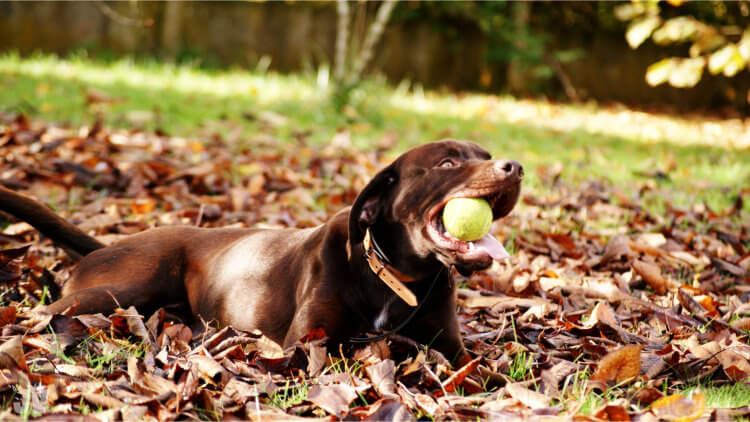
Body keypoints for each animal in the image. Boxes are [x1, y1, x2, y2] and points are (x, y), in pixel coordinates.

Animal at [0, 139, 524, 362]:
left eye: (484, 154)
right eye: (449, 162)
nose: (514, 166)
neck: (393, 277)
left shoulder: (453, 349)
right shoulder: (309, 341)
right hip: (122, 288)